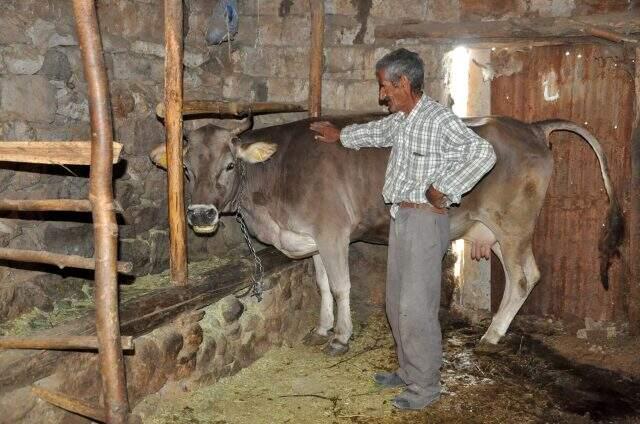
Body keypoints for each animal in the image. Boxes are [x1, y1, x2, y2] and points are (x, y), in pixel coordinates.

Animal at [150, 114, 620, 356]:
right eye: (186, 168)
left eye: (230, 165)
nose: (201, 213)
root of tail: (531, 126)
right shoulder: (312, 237)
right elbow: (322, 284)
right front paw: (321, 327)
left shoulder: (333, 231)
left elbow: (342, 285)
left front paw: (341, 336)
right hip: (497, 229)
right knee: (526, 274)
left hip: (514, 224)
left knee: (524, 278)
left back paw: (492, 335)